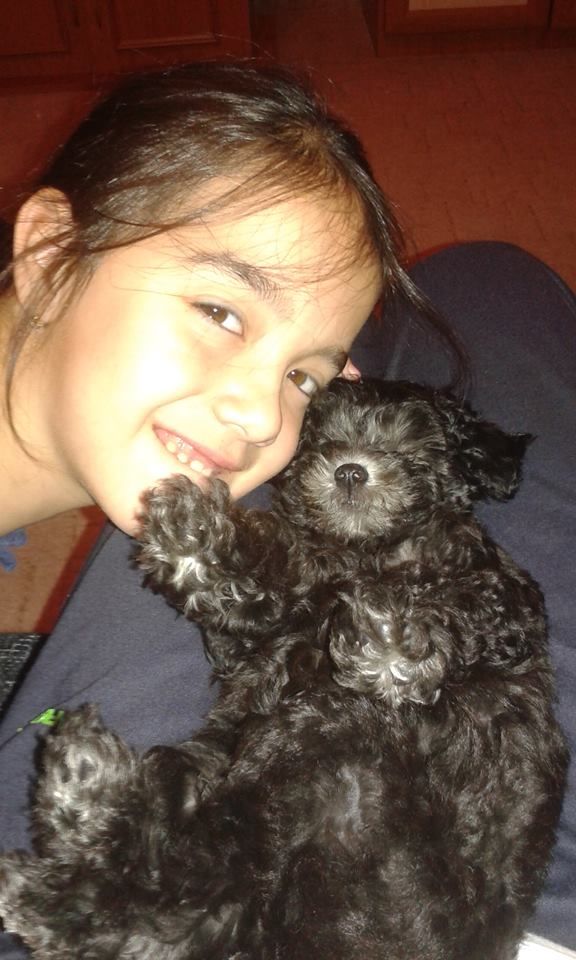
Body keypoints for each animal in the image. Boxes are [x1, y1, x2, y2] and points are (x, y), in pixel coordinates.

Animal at [0, 378, 568, 960]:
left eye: (411, 447)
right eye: (320, 441)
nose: (350, 470)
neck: (367, 550)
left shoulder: (508, 610)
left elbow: (453, 606)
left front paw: (391, 643)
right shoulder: (257, 636)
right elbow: (275, 576)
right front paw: (197, 544)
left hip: (326, 741)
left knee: (188, 890)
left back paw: (77, 802)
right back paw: (81, 798)